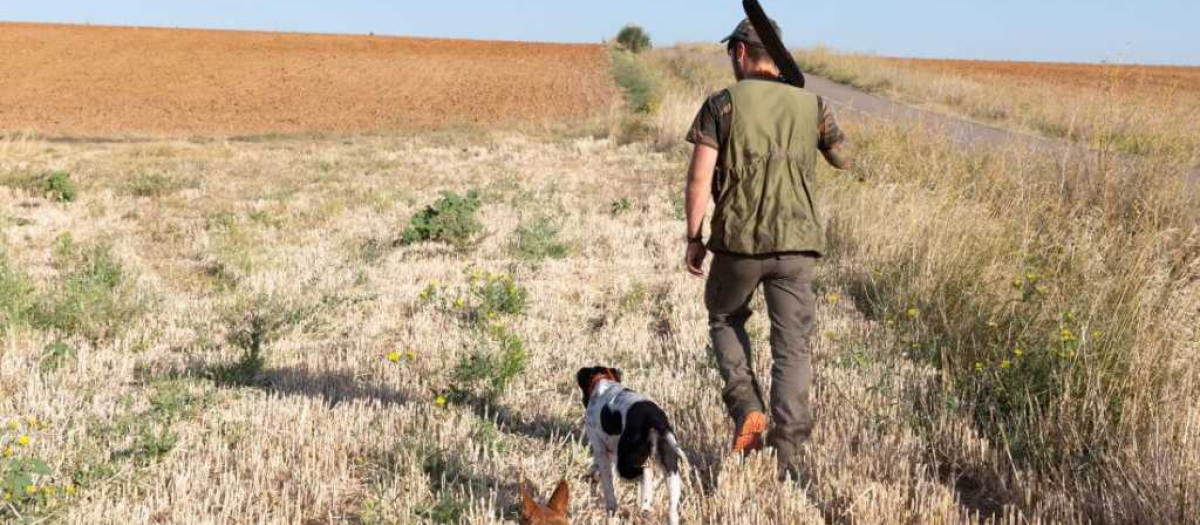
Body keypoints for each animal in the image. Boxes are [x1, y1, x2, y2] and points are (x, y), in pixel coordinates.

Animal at [573, 366, 681, 522]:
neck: (602, 381)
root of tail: (654, 420)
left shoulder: (600, 448)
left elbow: (607, 484)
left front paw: (610, 509)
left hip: (625, 465)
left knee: (646, 474)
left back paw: (645, 504)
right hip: (672, 471)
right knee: (672, 509)